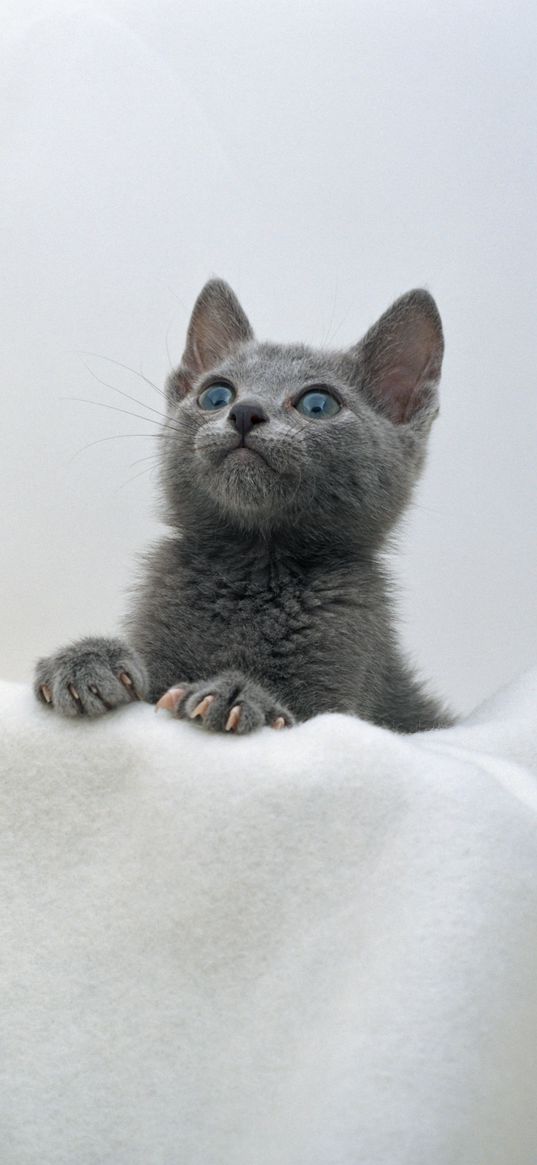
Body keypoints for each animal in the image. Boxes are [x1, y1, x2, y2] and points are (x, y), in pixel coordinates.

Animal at [33, 278, 451, 731]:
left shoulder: (341, 684)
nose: (245, 411)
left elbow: (304, 715)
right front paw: (87, 660)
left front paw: (237, 696)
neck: (256, 565)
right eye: (216, 395)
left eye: (318, 404)